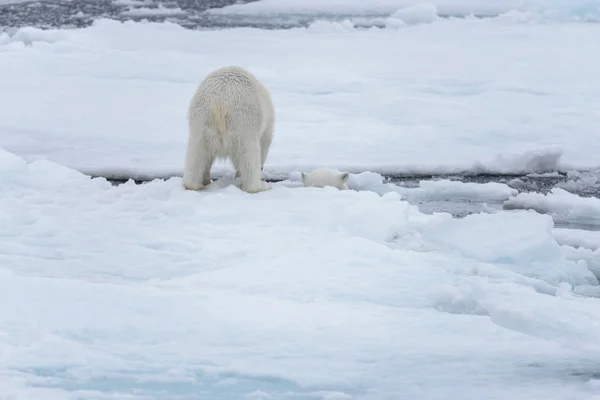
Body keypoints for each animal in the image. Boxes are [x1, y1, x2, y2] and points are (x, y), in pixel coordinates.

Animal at [184, 66, 276, 194]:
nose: (262, 167)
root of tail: (221, 101)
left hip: (200, 119)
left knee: (196, 152)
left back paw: (193, 185)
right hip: (245, 120)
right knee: (249, 154)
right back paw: (259, 187)